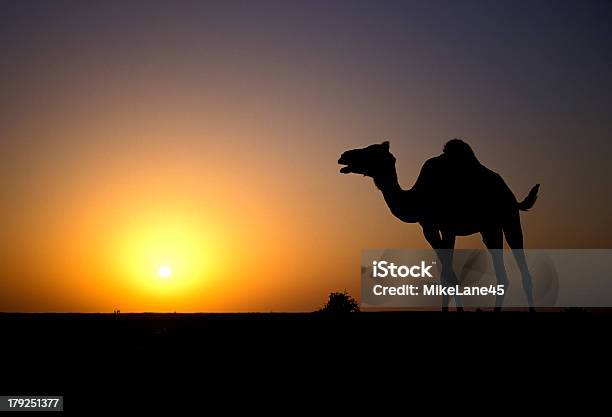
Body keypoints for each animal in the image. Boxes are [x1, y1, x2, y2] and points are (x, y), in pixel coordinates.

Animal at [340, 138, 540, 310]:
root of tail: (511, 195)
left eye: (371, 152)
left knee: (522, 268)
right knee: (501, 275)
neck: (419, 197)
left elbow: (449, 276)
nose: (344, 155)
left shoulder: (448, 228)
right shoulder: (429, 228)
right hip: (489, 228)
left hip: (510, 218)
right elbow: (447, 276)